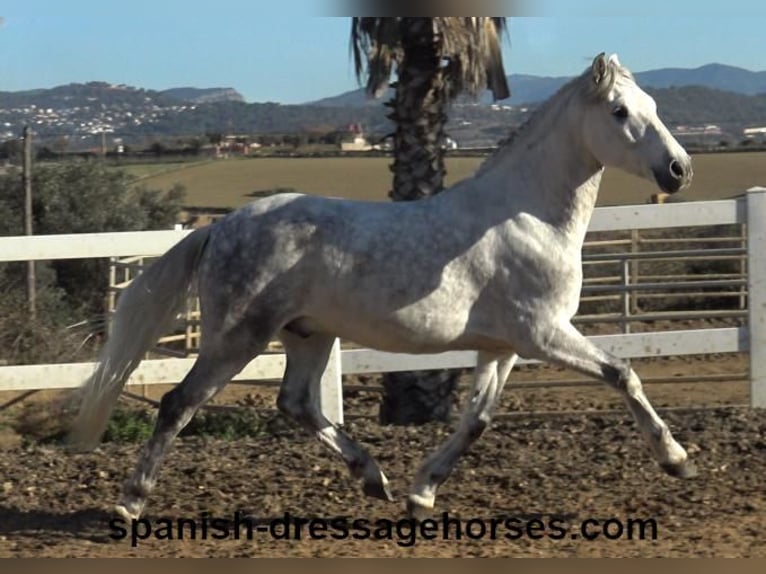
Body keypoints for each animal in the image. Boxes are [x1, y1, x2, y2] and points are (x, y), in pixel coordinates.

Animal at [70, 55, 696, 520]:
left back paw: (376, 479)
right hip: (238, 336)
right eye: (619, 111)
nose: (678, 171)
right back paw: (129, 503)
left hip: (307, 334)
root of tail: (219, 227)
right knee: (181, 403)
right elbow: (623, 373)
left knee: (295, 403)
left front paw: (422, 494)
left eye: (655, 107)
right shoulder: (543, 333)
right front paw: (676, 459)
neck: (527, 217)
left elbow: (476, 420)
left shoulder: (503, 346)